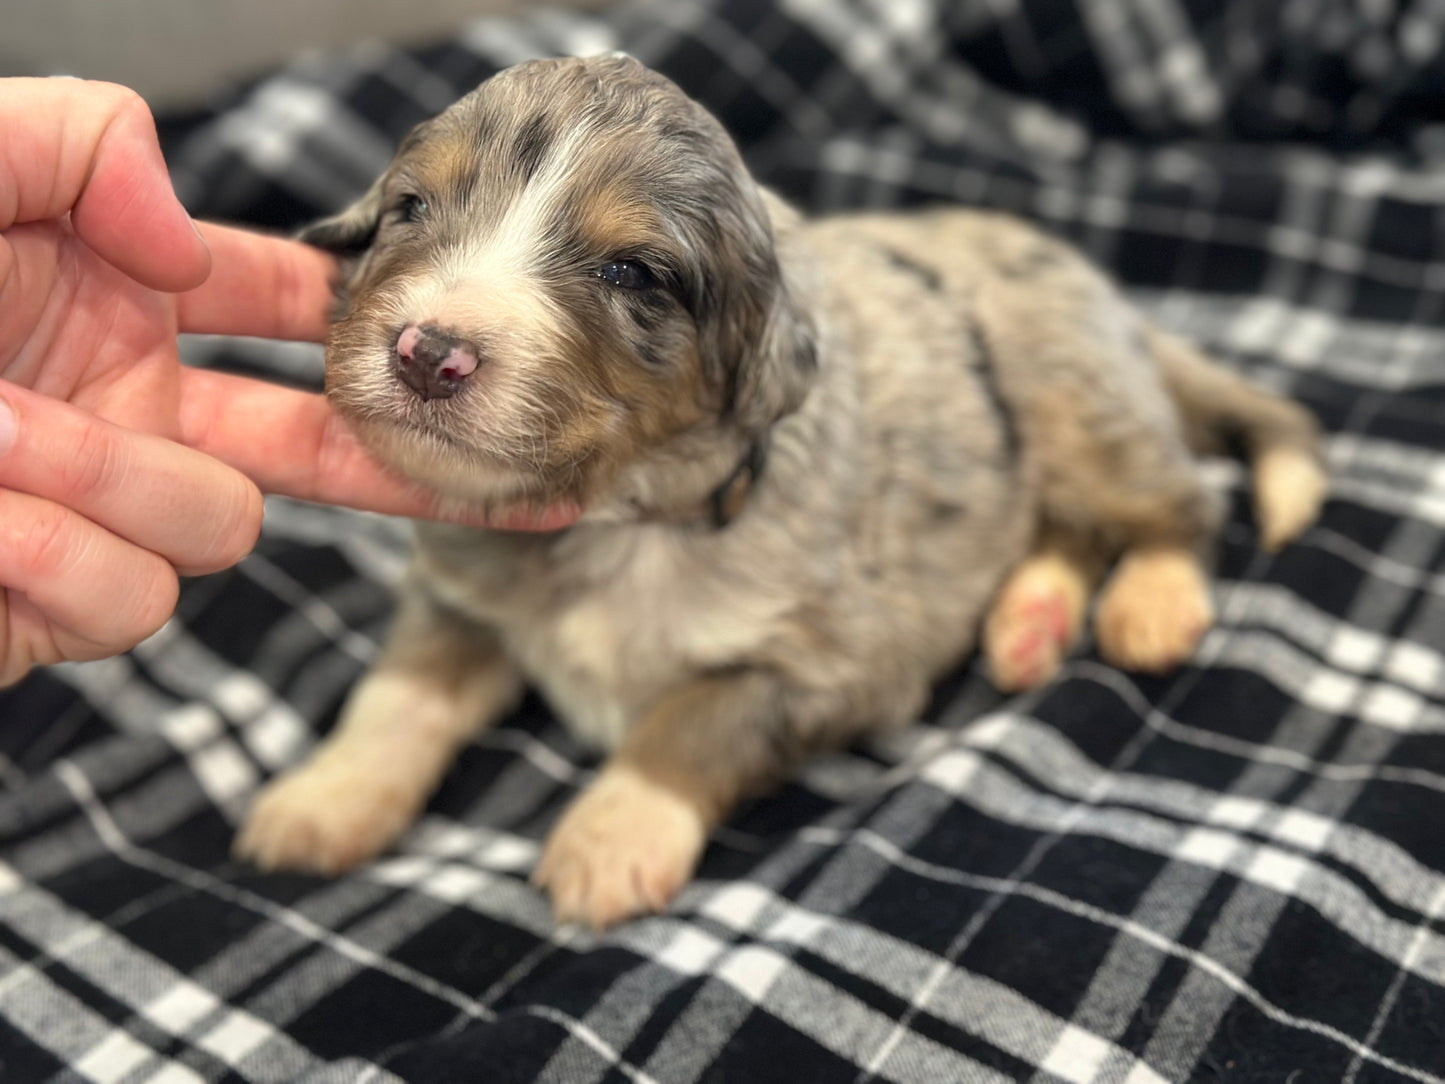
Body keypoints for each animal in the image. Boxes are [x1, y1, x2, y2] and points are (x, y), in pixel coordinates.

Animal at [231, 55, 1323, 930]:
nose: (426, 353)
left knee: (1182, 504)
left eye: (631, 272)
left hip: (1078, 412)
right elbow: (398, 694)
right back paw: (1030, 621)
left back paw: (1150, 604)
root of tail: (1099, 290)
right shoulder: (457, 594)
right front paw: (323, 799)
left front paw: (612, 835)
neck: (619, 517)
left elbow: (695, 718)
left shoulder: (834, 665)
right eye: (410, 209)